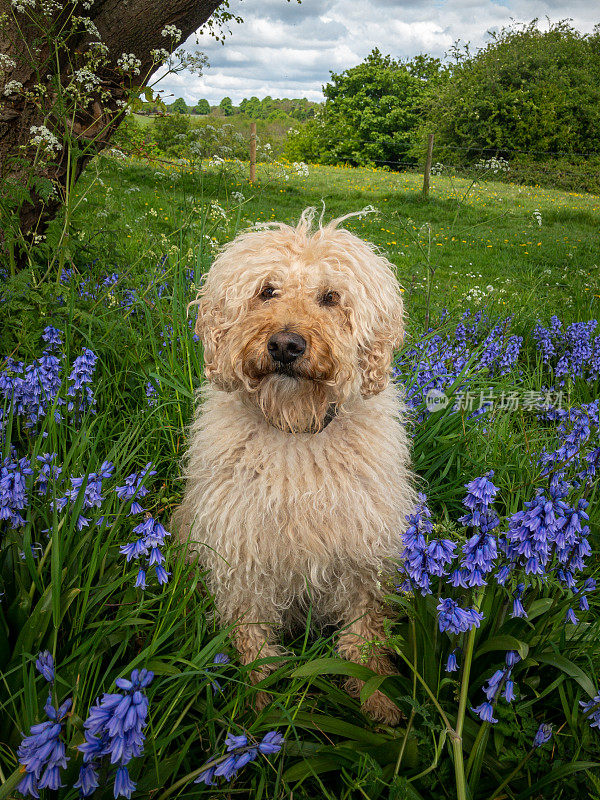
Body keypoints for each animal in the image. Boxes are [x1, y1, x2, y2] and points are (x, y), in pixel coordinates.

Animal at [176, 206, 414, 724]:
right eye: (267, 290)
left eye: (331, 297)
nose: (286, 345)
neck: (295, 430)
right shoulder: (242, 556)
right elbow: (252, 638)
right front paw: (259, 702)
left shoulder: (360, 556)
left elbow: (364, 635)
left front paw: (378, 701)